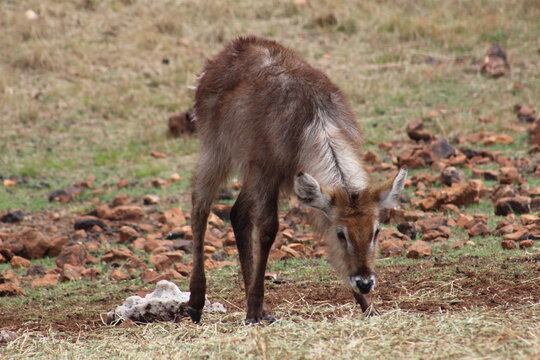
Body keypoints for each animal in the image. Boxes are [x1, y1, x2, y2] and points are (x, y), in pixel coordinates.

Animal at [188, 36, 408, 324]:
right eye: (341, 234)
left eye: (376, 231)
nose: (364, 282)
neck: (314, 119)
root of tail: (232, 49)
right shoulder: (265, 170)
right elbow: (268, 229)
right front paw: (253, 311)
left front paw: (368, 307)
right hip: (216, 150)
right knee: (200, 207)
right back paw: (196, 302)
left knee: (237, 213)